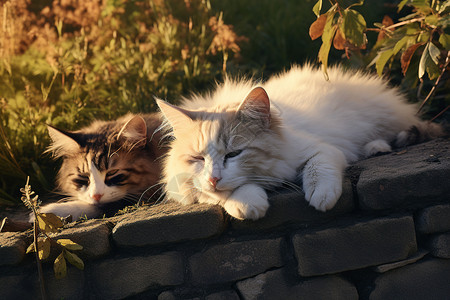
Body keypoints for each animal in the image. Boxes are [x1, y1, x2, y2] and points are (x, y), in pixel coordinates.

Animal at [156, 65, 442, 220]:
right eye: (197, 159)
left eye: (234, 154)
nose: (214, 178)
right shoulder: (181, 186)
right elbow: (217, 194)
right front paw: (248, 204)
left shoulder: (322, 149)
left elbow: (318, 169)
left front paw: (322, 196)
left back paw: (376, 147)